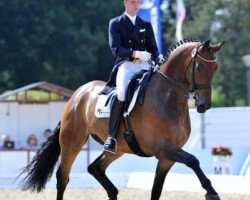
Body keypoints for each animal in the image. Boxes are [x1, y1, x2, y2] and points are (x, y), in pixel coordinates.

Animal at [19, 38, 225, 199]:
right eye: (199, 67)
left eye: (215, 67)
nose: (204, 105)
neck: (166, 96)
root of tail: (77, 95)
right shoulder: (162, 148)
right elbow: (193, 160)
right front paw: (211, 191)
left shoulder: (168, 156)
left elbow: (156, 190)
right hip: (72, 142)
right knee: (63, 177)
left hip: (117, 149)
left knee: (95, 168)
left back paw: (113, 191)